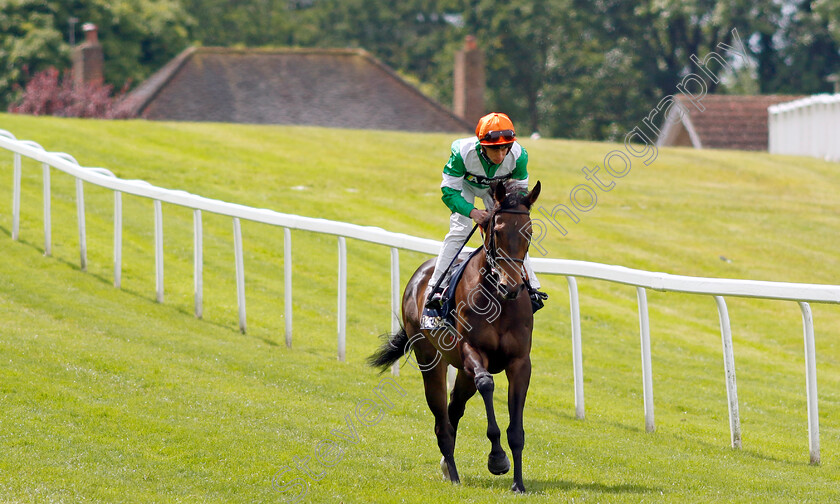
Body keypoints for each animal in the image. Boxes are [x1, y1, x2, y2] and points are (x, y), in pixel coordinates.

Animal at [370, 180, 540, 492]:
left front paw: (518, 484)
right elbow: (486, 384)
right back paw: (453, 471)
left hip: (462, 372)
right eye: (497, 230)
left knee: (454, 408)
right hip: (431, 360)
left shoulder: (520, 362)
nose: (510, 286)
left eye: (529, 232)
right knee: (441, 419)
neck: (499, 302)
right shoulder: (472, 351)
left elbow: (516, 427)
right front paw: (497, 459)